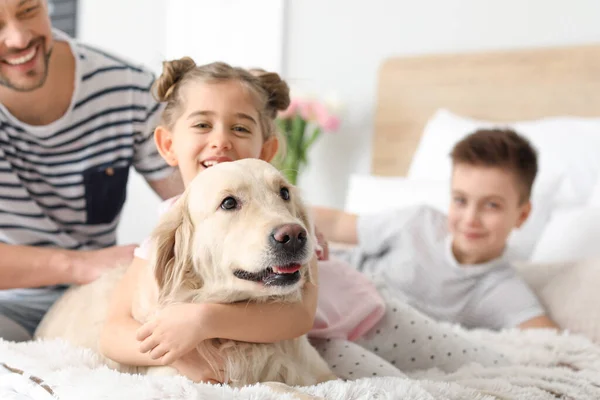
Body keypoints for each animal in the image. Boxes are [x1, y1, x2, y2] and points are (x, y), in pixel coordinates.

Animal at [35, 158, 338, 396]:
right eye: (229, 203)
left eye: (284, 193)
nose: (294, 236)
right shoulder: (178, 379)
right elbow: (272, 387)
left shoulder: (323, 375)